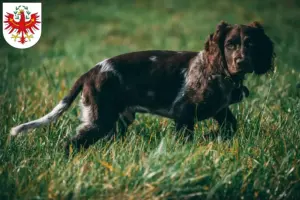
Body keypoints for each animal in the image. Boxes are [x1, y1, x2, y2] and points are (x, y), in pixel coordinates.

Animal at [10, 21, 276, 154]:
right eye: (230, 45)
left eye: (251, 44)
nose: (241, 62)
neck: (220, 73)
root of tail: (91, 72)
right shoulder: (183, 112)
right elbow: (187, 138)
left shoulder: (220, 110)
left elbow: (231, 126)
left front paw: (213, 136)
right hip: (100, 120)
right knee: (71, 143)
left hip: (116, 123)